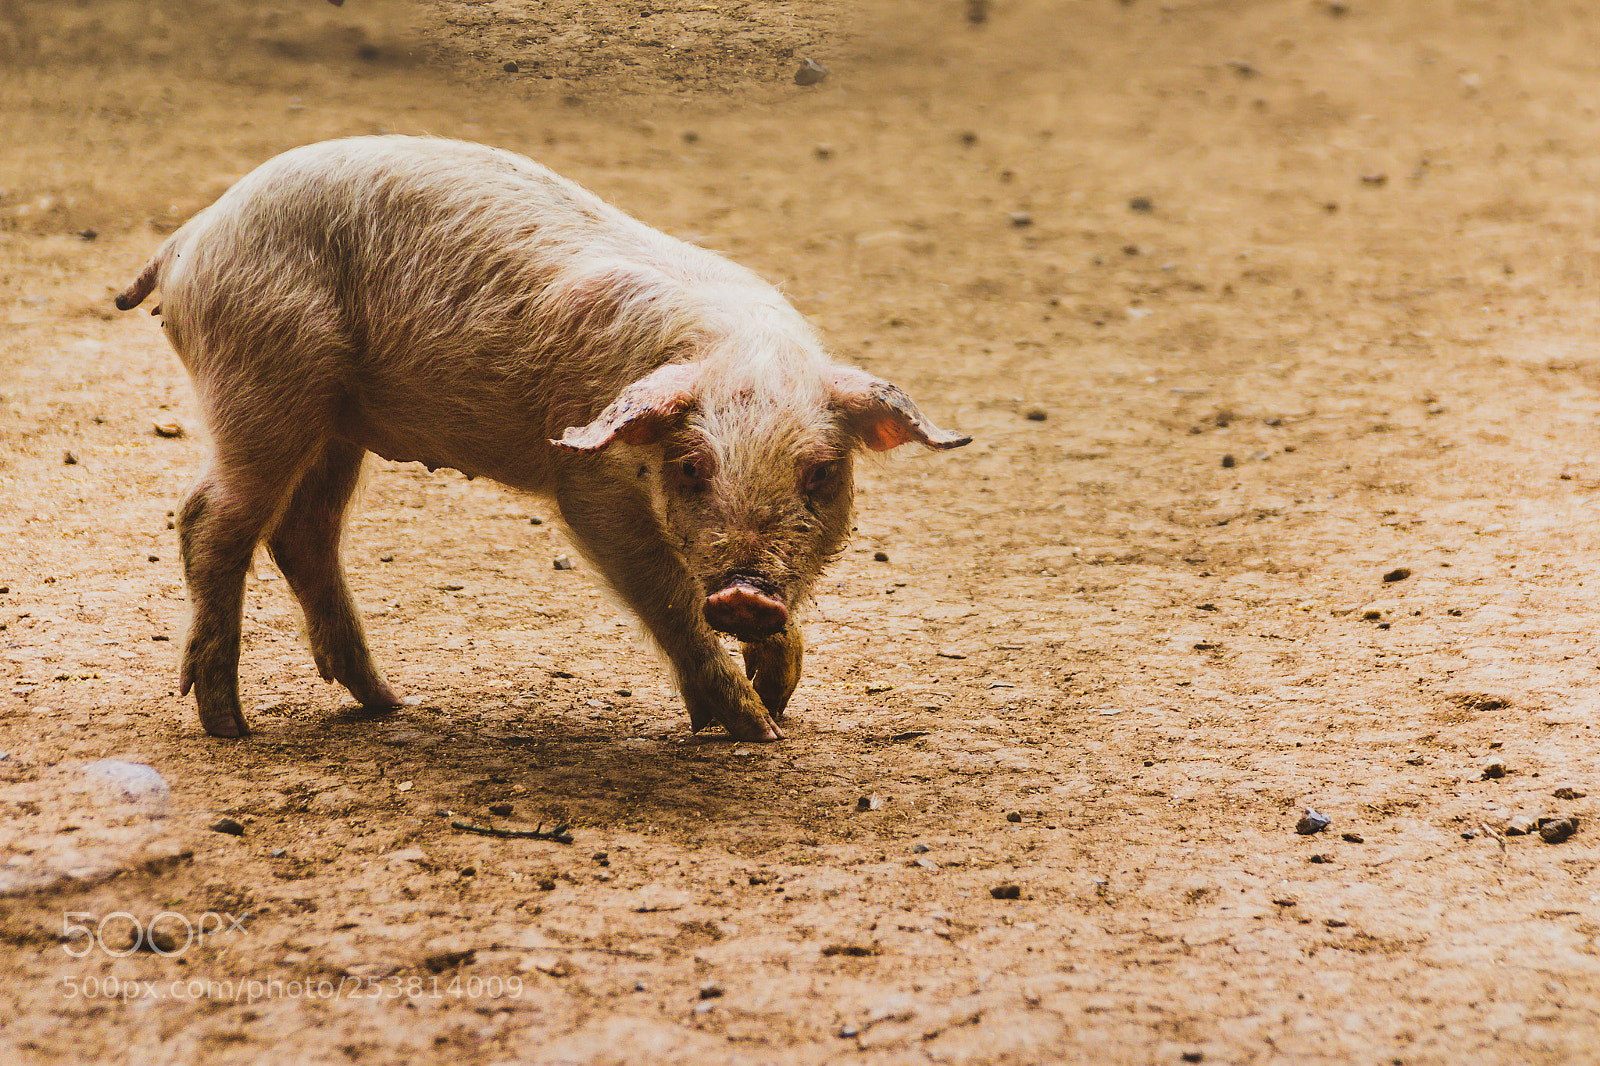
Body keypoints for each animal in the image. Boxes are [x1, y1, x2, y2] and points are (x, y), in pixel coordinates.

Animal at [114, 136, 969, 742]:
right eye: (692, 467)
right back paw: (231, 726)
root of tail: (190, 238)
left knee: (301, 532)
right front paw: (755, 732)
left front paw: (778, 695)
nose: (746, 594)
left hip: (332, 419)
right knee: (209, 518)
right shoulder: (585, 482)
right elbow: (663, 589)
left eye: (822, 472)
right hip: (263, 382)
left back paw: (391, 703)